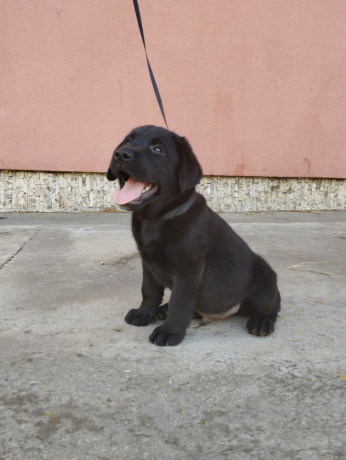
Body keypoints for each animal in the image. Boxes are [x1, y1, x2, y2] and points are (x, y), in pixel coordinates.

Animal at [108, 125, 282, 344]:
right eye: (128, 141)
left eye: (158, 149)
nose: (121, 154)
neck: (156, 219)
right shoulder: (148, 263)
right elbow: (149, 290)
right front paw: (143, 313)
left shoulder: (189, 269)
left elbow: (180, 301)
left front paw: (170, 331)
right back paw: (163, 310)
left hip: (264, 279)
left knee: (274, 306)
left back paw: (261, 322)